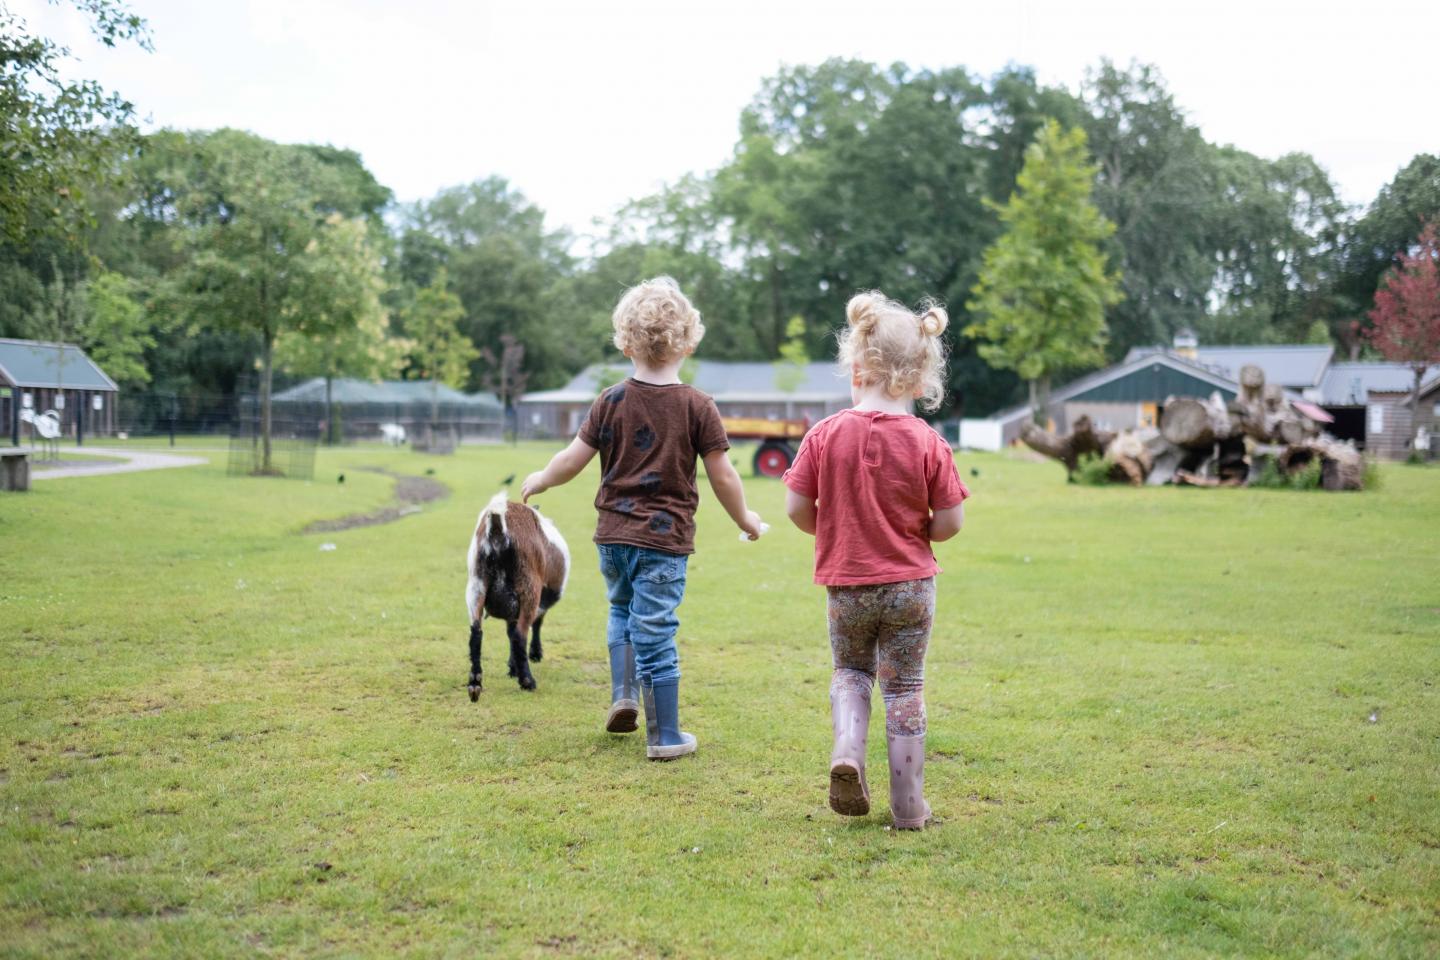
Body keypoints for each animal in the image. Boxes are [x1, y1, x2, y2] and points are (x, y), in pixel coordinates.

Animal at [466, 489, 567, 699]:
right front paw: (534, 655)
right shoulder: (539, 602)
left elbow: (509, 632)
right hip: (529, 587)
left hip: (476, 585)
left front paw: (512, 668)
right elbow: (534, 625)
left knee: (476, 633)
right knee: (520, 636)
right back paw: (528, 681)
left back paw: (475, 683)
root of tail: (498, 528)